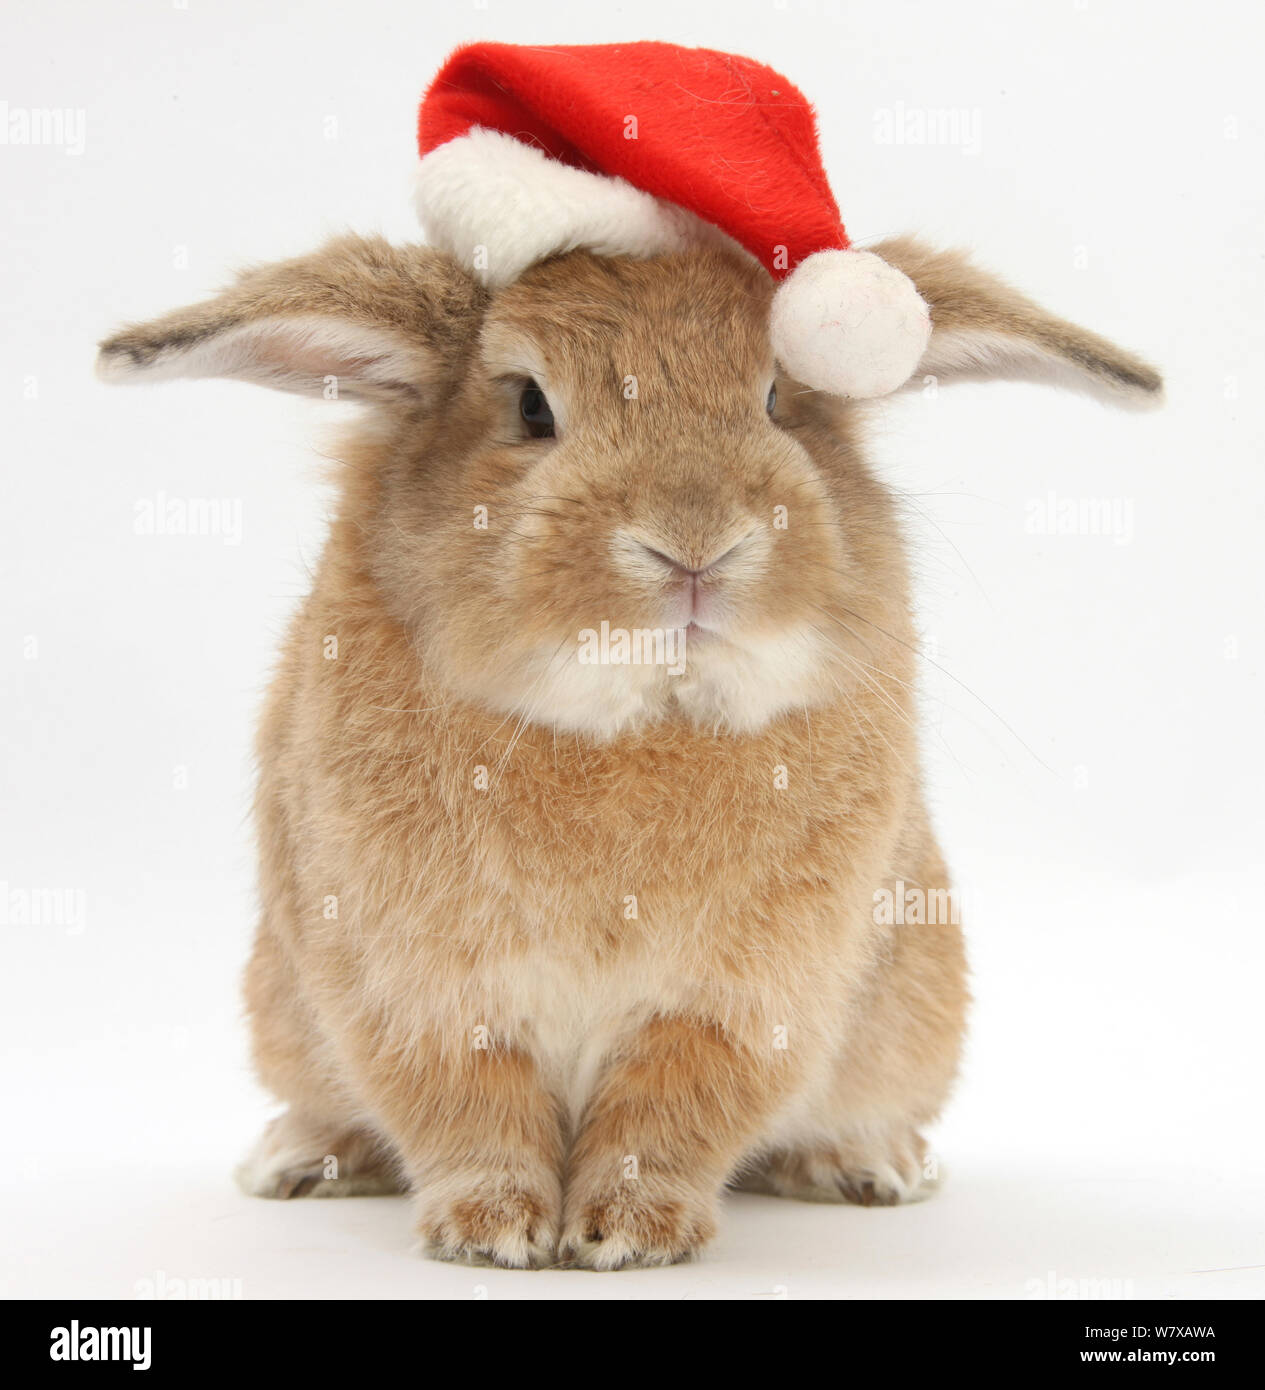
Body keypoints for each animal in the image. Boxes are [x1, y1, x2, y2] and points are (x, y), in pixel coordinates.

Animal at [98, 233, 1162, 1267]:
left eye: (777, 399)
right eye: (530, 406)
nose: (695, 544)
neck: (633, 721)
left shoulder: (747, 1000)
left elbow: (672, 1111)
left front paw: (627, 1234)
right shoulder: (411, 987)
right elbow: (465, 1113)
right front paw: (491, 1232)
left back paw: (868, 1166)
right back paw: (299, 1158)